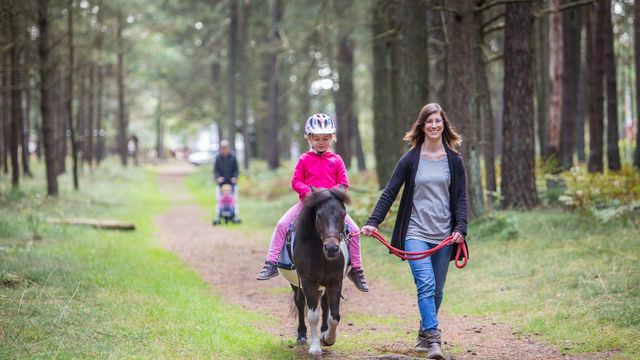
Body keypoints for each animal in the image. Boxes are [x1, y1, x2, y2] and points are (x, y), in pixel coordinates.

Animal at [284, 187, 350, 356]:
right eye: (319, 215)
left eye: (343, 214)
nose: (332, 248)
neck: (321, 255)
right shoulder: (308, 282)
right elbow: (313, 315)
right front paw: (314, 349)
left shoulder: (335, 283)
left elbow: (335, 316)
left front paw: (328, 339)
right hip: (296, 283)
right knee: (300, 302)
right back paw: (301, 336)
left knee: (325, 304)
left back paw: (323, 332)